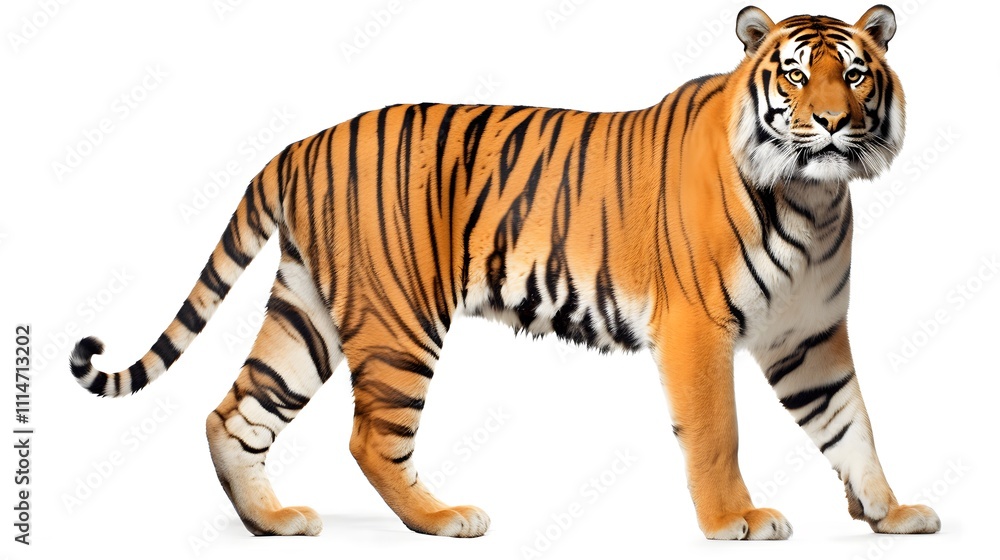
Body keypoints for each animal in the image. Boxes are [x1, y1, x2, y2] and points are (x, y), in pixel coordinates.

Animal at [69, 5, 941, 540]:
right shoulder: (697, 328)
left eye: (854, 74)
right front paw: (738, 520)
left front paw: (890, 512)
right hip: (398, 319)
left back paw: (272, 523)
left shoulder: (811, 337)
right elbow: (718, 432)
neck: (814, 199)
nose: (831, 122)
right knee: (369, 436)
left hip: (305, 312)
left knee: (235, 414)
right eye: (794, 74)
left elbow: (852, 423)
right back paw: (442, 518)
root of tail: (301, 143)